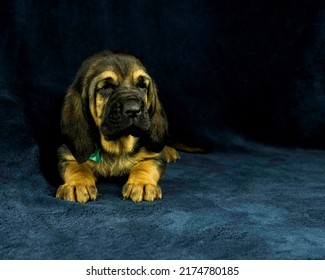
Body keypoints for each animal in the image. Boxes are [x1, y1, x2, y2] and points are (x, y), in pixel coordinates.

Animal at [55, 50, 180, 203]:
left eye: (142, 86)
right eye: (106, 87)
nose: (133, 110)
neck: (117, 146)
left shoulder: (153, 156)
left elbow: (144, 167)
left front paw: (142, 183)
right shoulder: (66, 155)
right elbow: (78, 168)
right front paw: (77, 184)